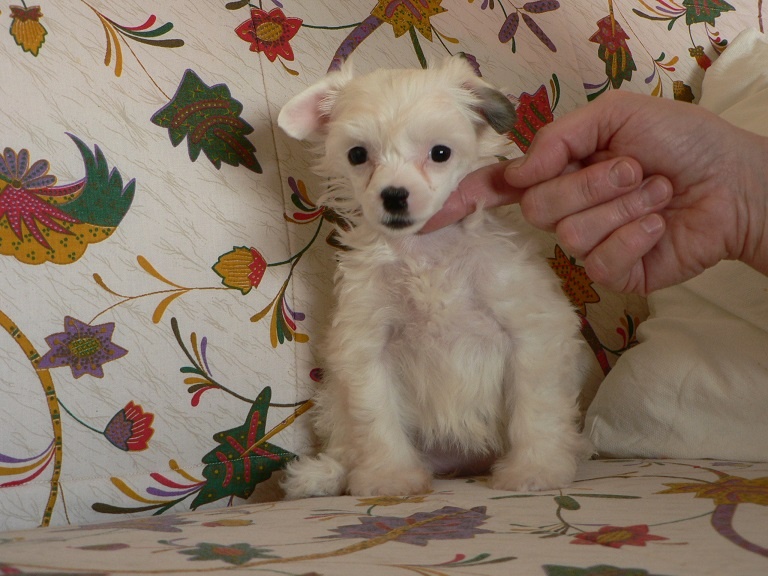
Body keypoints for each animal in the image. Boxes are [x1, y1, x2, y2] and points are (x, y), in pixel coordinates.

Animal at [277, 56, 588, 498]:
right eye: (357, 154)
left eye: (440, 153)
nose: (393, 195)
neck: (426, 252)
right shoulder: (368, 350)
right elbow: (377, 421)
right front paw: (389, 476)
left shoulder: (530, 334)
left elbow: (536, 410)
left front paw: (535, 469)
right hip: (335, 403)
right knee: (345, 443)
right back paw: (322, 475)